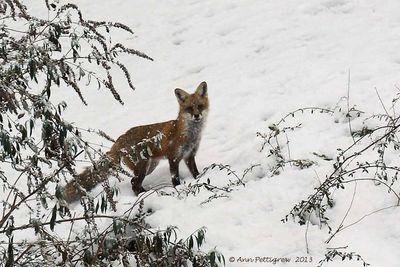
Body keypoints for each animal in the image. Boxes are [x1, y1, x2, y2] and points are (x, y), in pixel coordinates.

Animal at [61, 82, 209, 203]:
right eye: (189, 108)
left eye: (200, 106)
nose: (197, 116)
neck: (189, 135)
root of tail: (119, 140)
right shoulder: (173, 158)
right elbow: (175, 179)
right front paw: (178, 189)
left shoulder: (189, 155)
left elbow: (196, 173)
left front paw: (199, 179)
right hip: (143, 167)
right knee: (134, 183)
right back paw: (146, 195)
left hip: (150, 166)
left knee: (134, 182)